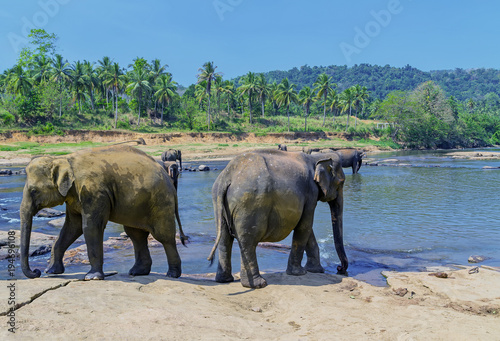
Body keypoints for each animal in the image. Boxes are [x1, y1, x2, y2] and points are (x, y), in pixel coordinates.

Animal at [19, 143, 185, 278]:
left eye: (34, 191)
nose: (37, 272)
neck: (63, 159)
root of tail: (169, 181)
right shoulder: (75, 196)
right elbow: (72, 227)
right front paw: (52, 271)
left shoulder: (94, 192)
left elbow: (90, 227)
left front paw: (92, 277)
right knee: (136, 235)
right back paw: (137, 272)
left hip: (161, 202)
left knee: (164, 236)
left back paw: (172, 274)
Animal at [208, 149, 348, 286]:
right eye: (341, 182)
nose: (339, 268)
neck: (316, 157)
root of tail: (227, 176)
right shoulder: (311, 193)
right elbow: (305, 226)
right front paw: (299, 273)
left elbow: (306, 228)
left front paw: (316, 270)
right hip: (250, 203)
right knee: (248, 241)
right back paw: (258, 284)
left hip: (219, 201)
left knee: (224, 239)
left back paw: (224, 280)